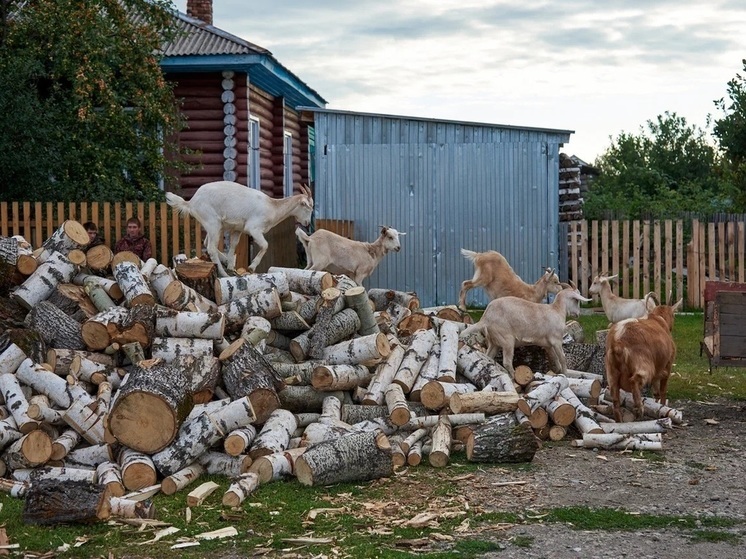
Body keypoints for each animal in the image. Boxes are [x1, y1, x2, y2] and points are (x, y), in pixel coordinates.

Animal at [165, 180, 310, 276]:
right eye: (308, 207)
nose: (307, 223)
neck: (272, 206)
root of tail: (191, 202)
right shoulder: (254, 228)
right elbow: (265, 245)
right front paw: (251, 267)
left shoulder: (238, 230)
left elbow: (234, 245)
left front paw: (231, 265)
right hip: (213, 223)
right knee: (211, 248)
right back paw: (223, 273)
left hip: (215, 226)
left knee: (207, 243)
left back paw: (225, 262)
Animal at [456, 286, 588, 378]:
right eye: (576, 300)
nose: (578, 314)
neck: (556, 310)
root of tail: (485, 318)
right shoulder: (556, 341)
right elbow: (563, 358)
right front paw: (566, 374)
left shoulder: (548, 345)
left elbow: (556, 361)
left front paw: (559, 372)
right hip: (507, 339)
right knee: (507, 362)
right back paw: (515, 376)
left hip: (494, 341)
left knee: (488, 356)